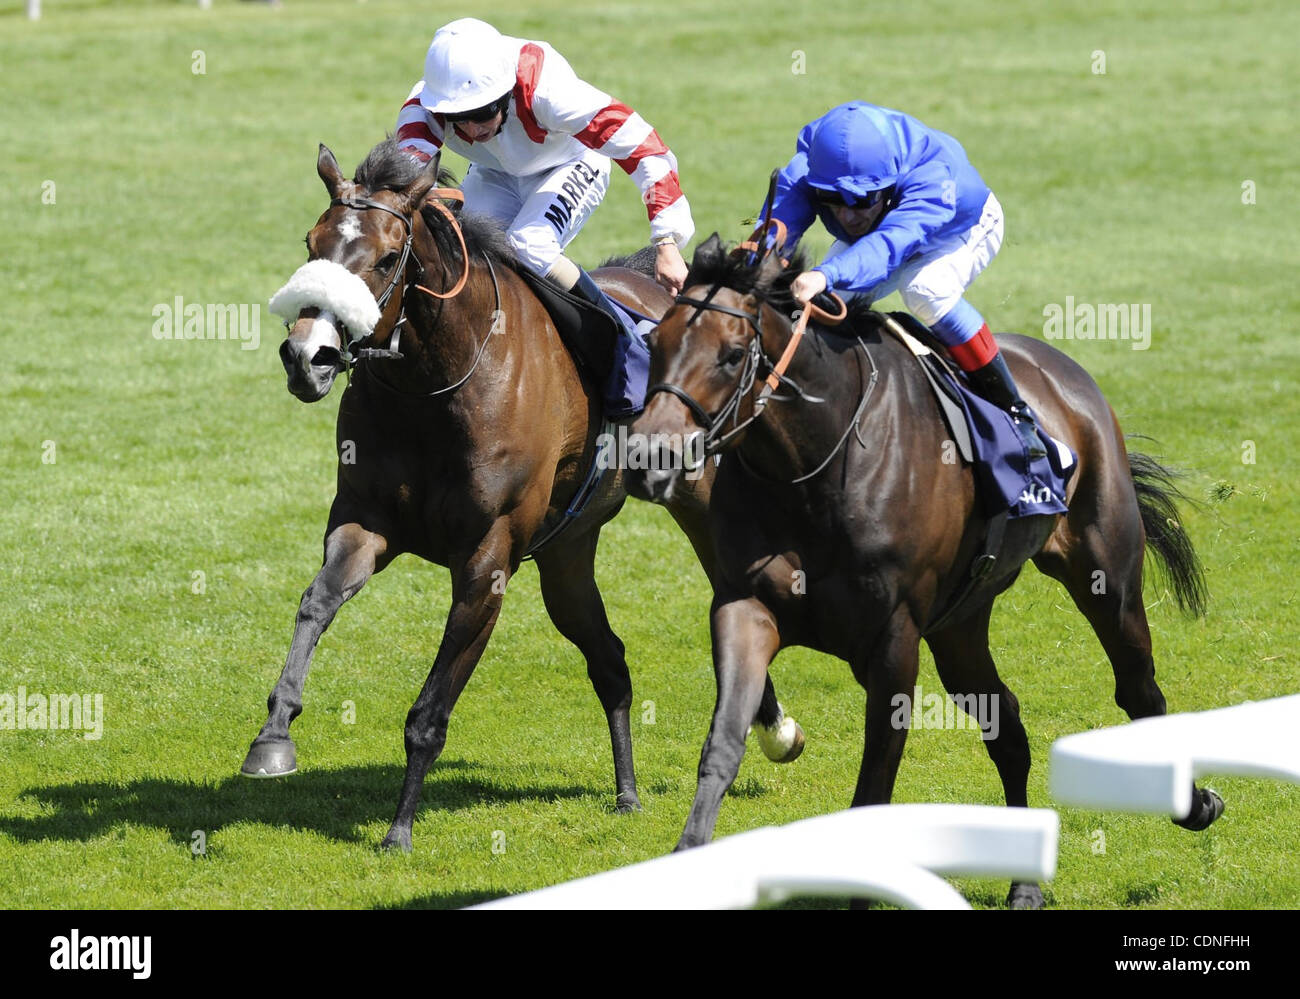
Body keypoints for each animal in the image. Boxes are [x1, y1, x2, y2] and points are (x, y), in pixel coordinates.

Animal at [239, 136, 795, 848]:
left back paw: (775, 729)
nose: (309, 357)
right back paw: (627, 793)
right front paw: (273, 735)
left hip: (700, 503)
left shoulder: (487, 558)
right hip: (566, 553)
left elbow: (429, 711)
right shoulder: (365, 521)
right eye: (311, 244)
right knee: (609, 660)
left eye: (387, 257)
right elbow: (317, 602)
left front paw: (399, 830)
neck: (434, 385)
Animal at [624, 231, 1222, 905]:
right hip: (960, 624)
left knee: (1138, 687)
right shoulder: (744, 607)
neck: (813, 471)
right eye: (655, 342)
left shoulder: (894, 640)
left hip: (1106, 575)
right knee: (1007, 727)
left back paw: (1195, 803)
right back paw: (1025, 884)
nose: (647, 458)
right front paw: (688, 860)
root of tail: (1066, 376)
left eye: (730, 356)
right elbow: (724, 741)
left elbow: (873, 786)